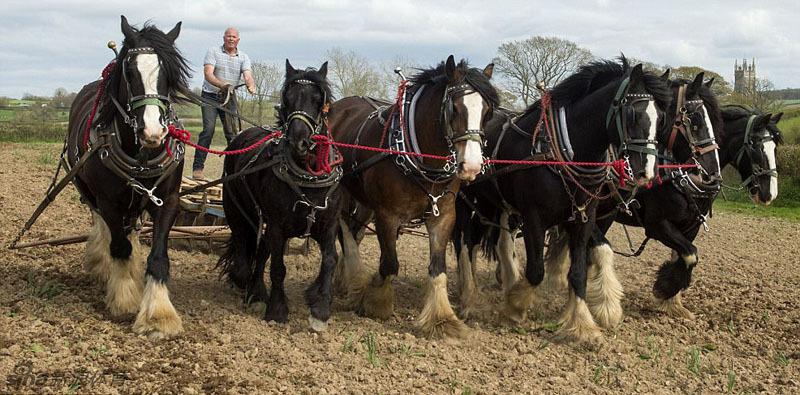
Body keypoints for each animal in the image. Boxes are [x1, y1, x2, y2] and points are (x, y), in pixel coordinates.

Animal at [66, 14, 191, 338]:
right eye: (130, 72)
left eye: (168, 74)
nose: (153, 132)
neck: (142, 155)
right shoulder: (109, 202)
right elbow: (119, 246)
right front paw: (123, 299)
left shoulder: (168, 200)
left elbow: (158, 256)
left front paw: (159, 314)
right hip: (88, 191)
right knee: (106, 229)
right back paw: (102, 264)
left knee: (130, 228)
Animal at [217, 59, 342, 332]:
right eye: (288, 99)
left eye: (319, 100)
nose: (299, 141)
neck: (308, 178)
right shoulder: (276, 226)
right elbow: (277, 267)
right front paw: (277, 309)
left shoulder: (327, 226)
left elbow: (330, 260)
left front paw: (320, 310)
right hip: (236, 210)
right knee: (244, 244)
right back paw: (248, 285)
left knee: (261, 249)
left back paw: (255, 290)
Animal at [328, 55, 496, 338]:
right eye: (454, 109)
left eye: (487, 113)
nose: (472, 166)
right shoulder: (387, 215)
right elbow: (389, 264)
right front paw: (375, 302)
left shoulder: (443, 216)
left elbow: (437, 269)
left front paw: (441, 319)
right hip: (338, 190)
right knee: (345, 230)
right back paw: (353, 278)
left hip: (364, 203)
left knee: (355, 230)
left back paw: (345, 281)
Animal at [454, 58, 672, 344]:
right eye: (632, 114)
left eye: (662, 118)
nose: (647, 172)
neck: (564, 150)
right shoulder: (534, 219)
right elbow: (536, 271)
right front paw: (514, 307)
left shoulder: (584, 218)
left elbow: (578, 273)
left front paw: (583, 325)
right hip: (470, 201)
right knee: (466, 242)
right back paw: (468, 296)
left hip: (498, 205)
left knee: (497, 243)